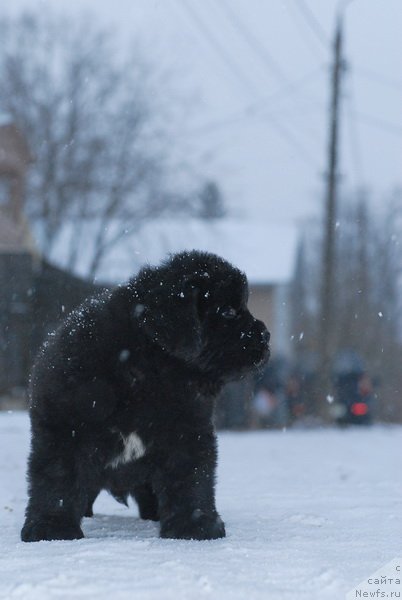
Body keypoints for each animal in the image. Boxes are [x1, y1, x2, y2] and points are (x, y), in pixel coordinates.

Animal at [20, 251, 268, 540]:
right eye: (228, 312)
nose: (266, 335)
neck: (146, 366)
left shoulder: (188, 430)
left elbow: (191, 478)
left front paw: (195, 526)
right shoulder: (65, 428)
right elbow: (57, 479)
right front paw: (52, 528)